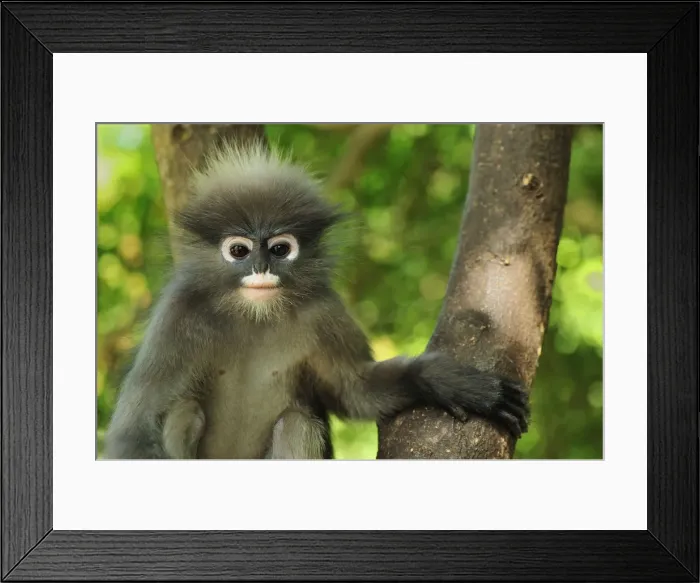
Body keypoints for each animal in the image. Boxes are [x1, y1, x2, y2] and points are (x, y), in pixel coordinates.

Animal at [103, 139, 530, 460]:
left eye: (279, 249)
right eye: (239, 251)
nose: (261, 269)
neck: (255, 316)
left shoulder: (325, 311)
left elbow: (355, 391)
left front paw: (447, 382)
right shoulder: (178, 315)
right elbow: (132, 432)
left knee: (297, 423)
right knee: (182, 411)